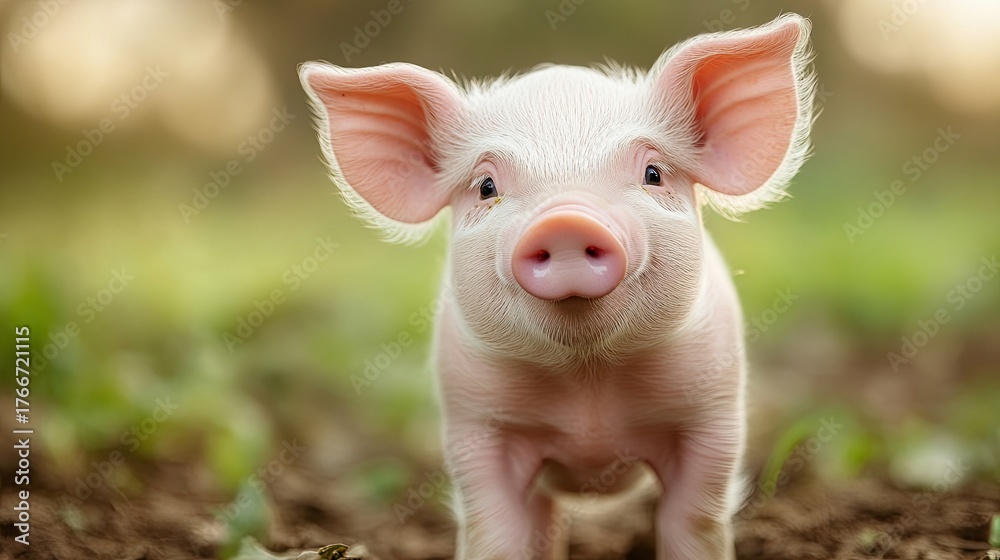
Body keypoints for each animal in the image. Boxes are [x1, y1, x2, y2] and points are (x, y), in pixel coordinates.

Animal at [300, 13, 815, 560]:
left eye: (653, 173)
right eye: (486, 186)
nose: (566, 220)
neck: (586, 381)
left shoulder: (713, 412)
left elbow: (694, 516)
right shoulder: (475, 422)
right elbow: (495, 526)